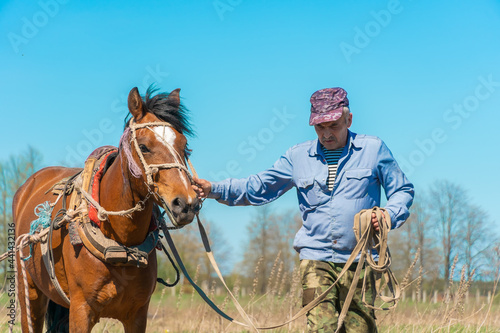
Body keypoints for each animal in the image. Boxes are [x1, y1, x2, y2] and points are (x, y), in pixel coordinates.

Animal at [12, 86, 199, 332]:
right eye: (144, 147)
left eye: (184, 147)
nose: (187, 203)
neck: (122, 245)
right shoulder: (81, 311)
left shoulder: (138, 315)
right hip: (31, 295)